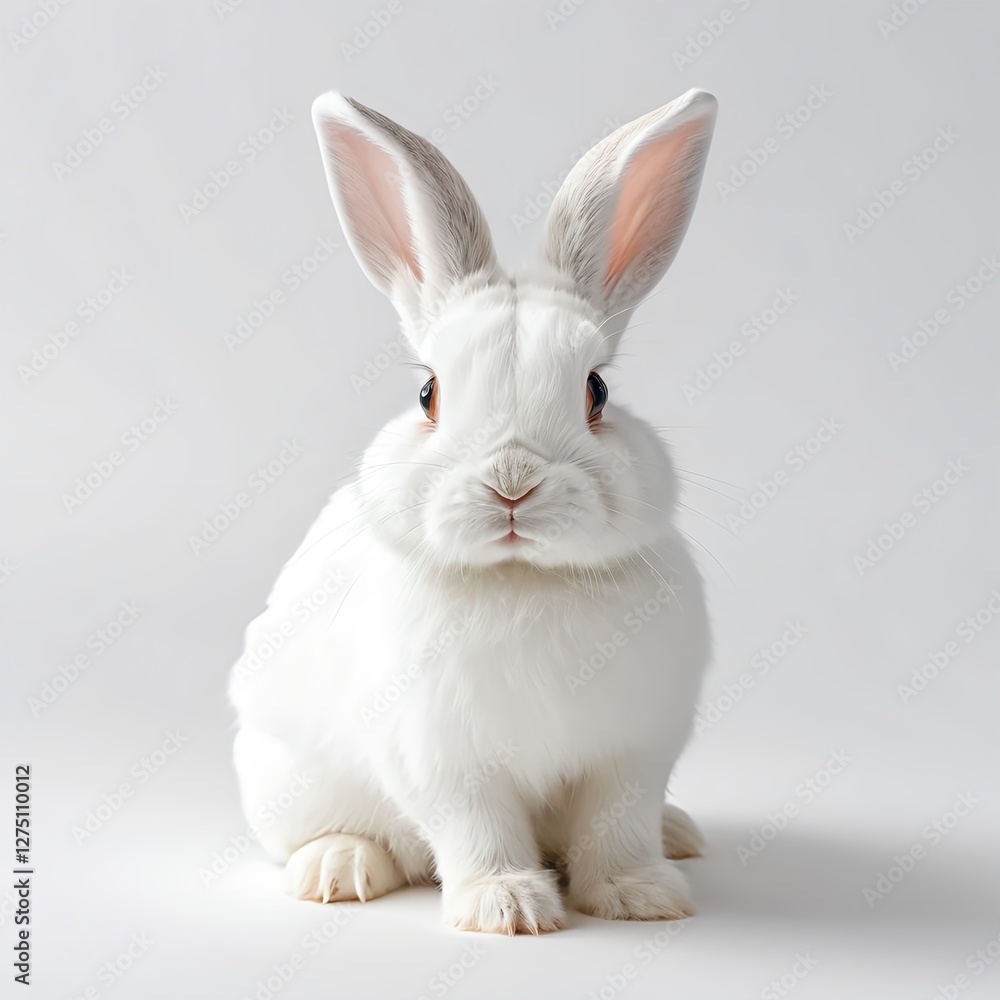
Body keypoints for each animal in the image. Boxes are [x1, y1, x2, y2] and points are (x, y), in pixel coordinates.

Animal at [229, 87, 717, 934]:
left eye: (597, 391)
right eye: (428, 392)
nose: (512, 482)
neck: (523, 580)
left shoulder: (631, 752)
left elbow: (617, 827)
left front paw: (641, 897)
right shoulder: (444, 761)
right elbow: (476, 830)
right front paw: (509, 908)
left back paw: (680, 835)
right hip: (287, 774)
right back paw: (337, 869)